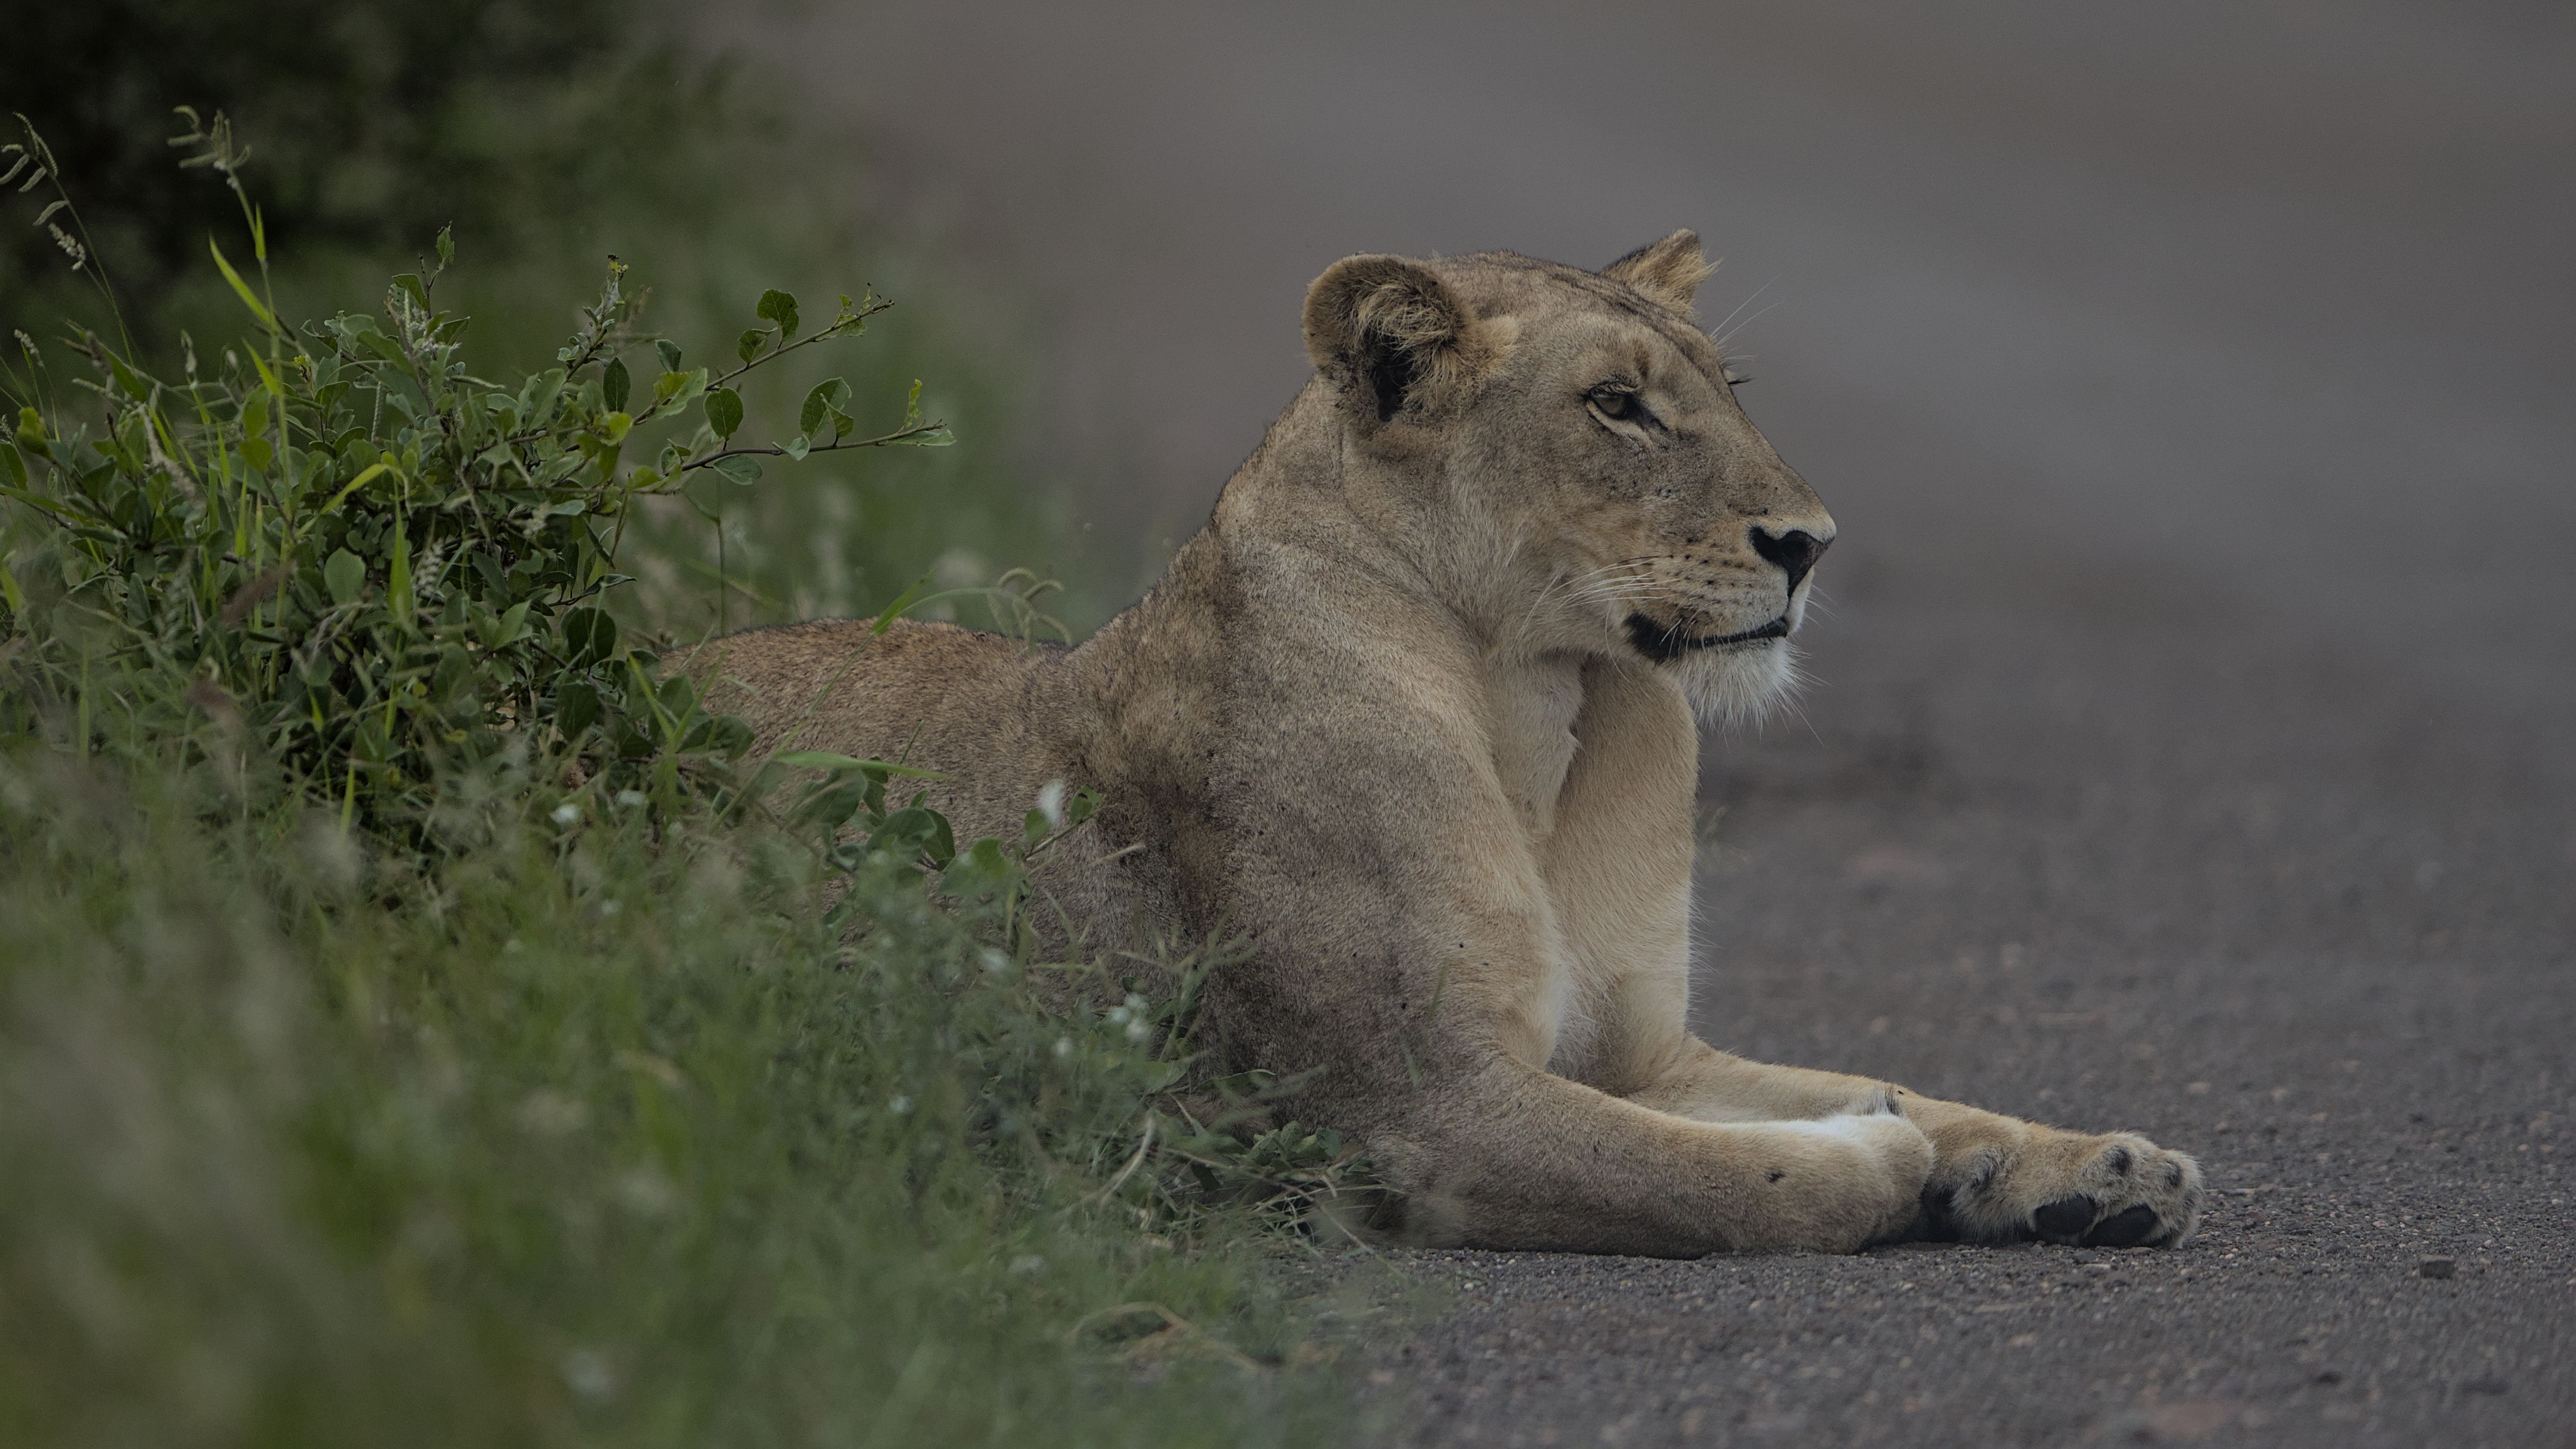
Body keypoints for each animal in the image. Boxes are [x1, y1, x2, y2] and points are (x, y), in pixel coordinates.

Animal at [695, 231, 2205, 1255]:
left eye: (1731, 387)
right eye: (1616, 406)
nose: (1810, 545)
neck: (1547, 711)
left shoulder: (1642, 1058)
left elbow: (1923, 1100)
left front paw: (2096, 1169)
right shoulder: (1424, 1109)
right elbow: (1732, 1178)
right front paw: (1873, 1160)